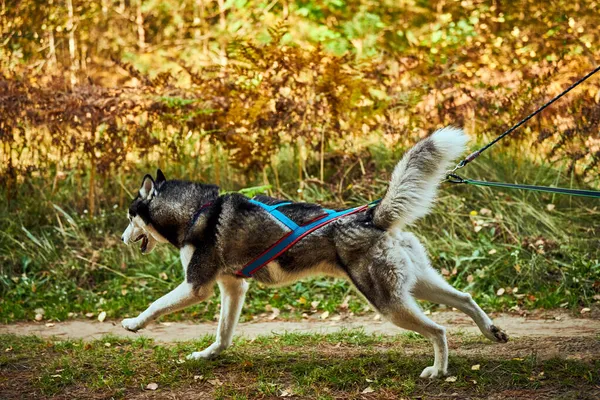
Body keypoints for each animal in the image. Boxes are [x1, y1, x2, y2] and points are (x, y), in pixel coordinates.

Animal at [120, 128, 506, 378]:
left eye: (128, 216)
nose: (122, 239)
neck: (196, 210)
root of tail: (372, 215)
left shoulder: (195, 286)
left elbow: (155, 306)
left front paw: (134, 323)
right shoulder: (233, 287)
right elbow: (223, 334)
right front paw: (208, 355)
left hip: (388, 303)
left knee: (439, 330)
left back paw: (438, 371)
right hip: (417, 285)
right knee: (466, 298)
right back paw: (491, 332)